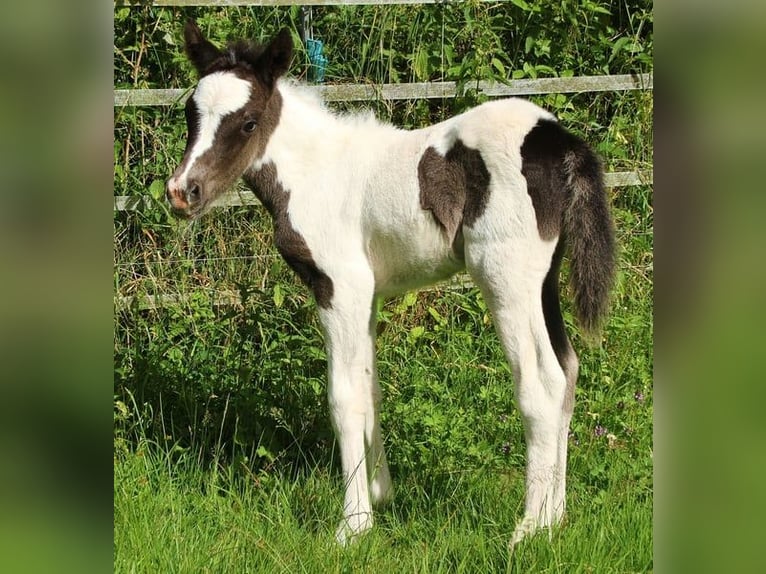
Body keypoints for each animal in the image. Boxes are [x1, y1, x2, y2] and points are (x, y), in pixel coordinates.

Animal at [165, 20, 616, 548]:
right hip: (542, 281)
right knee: (569, 371)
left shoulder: (338, 287)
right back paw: (557, 517)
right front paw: (381, 496)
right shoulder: (368, 295)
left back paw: (530, 528)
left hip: (505, 278)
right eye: (191, 113)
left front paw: (353, 524)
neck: (316, 174)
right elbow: (369, 388)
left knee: (542, 382)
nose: (182, 192)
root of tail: (560, 141)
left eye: (249, 122)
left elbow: (343, 397)